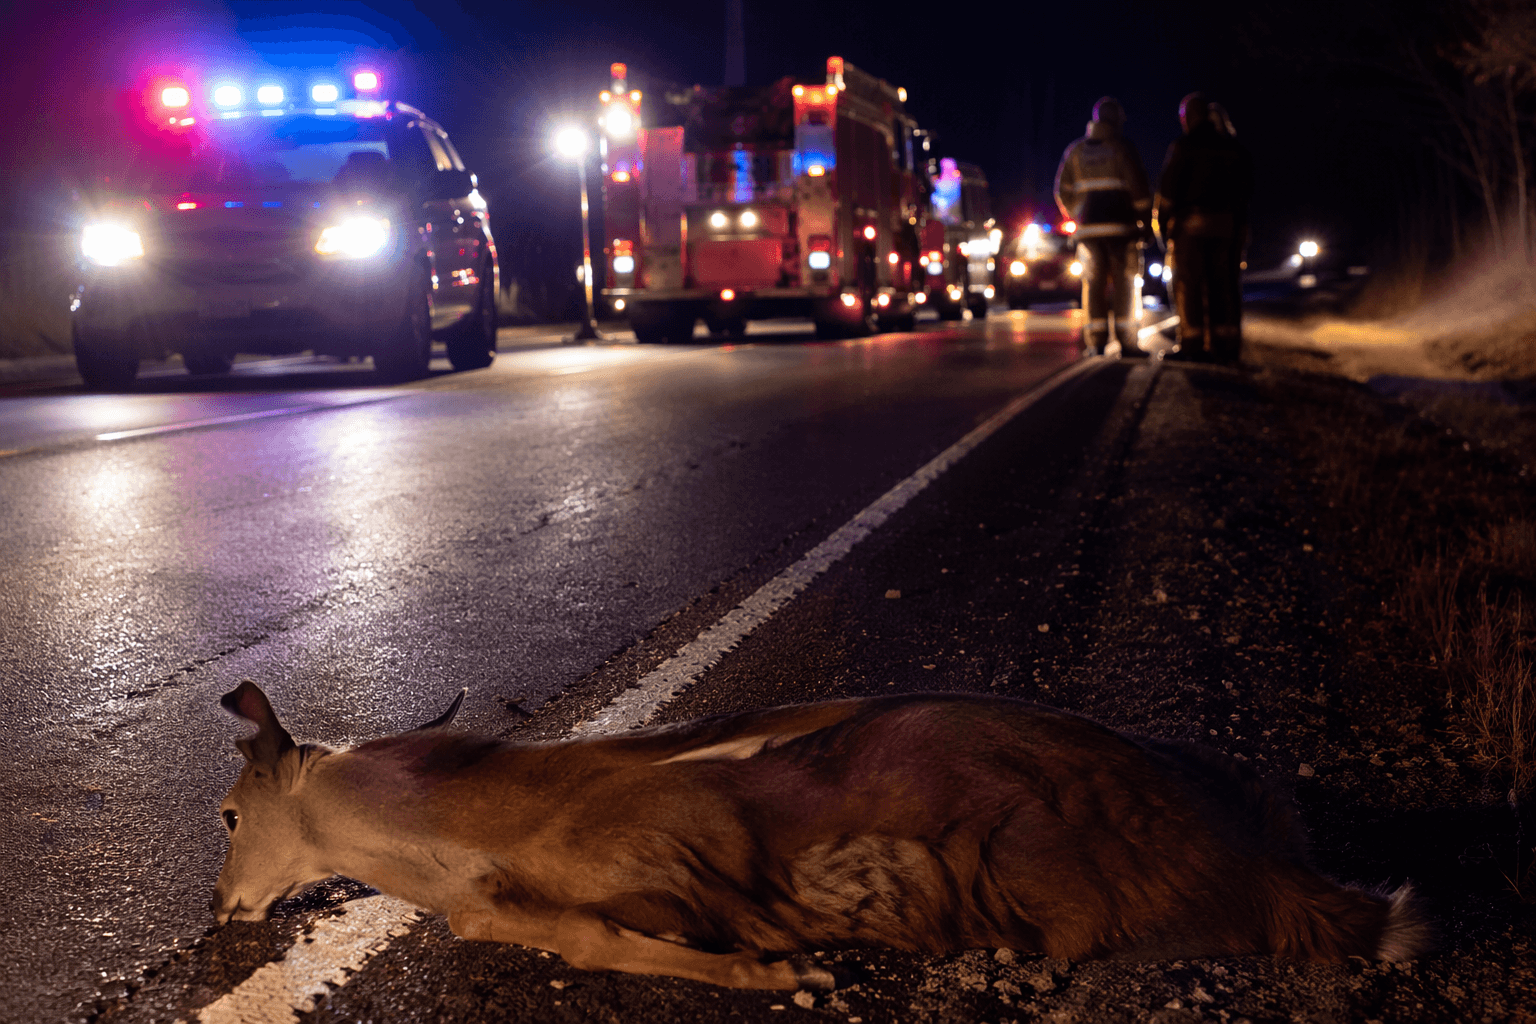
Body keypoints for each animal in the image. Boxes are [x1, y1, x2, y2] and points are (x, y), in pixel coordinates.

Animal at [212, 681, 1427, 990]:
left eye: (225, 814)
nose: (220, 908)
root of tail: (1269, 866)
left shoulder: (649, 877)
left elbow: (602, 938)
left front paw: (782, 973)